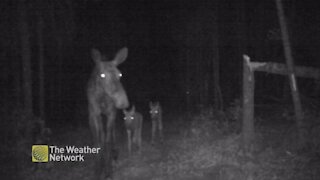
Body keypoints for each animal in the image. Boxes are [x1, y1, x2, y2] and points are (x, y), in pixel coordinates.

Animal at [87, 47, 129, 179]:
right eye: (102, 75)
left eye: (120, 74)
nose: (123, 102)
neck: (102, 98)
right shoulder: (94, 114)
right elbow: (98, 141)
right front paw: (98, 170)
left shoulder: (111, 113)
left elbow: (108, 140)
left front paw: (108, 170)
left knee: (111, 134)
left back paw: (114, 156)